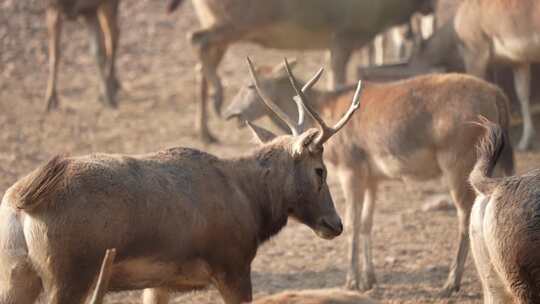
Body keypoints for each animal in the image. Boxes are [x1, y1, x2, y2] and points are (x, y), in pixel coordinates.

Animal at [1, 57, 362, 304]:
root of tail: (23, 200)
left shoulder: (159, 283)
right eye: (320, 170)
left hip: (18, 275)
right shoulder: (233, 265)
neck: (249, 201)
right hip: (68, 277)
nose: (335, 223)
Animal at [168, 0, 430, 142]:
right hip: (234, 24)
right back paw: (217, 97)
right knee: (197, 40)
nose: (411, 33)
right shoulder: (342, 37)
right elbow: (338, 79)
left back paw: (206, 131)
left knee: (201, 61)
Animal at [223, 60, 516, 296]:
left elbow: (353, 221)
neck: (327, 108)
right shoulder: (373, 176)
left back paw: (450, 283)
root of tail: (499, 95)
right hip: (494, 161)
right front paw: (369, 279)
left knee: (465, 216)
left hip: (457, 161)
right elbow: (367, 222)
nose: (229, 112)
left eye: (250, 85)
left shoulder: (351, 167)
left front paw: (352, 281)